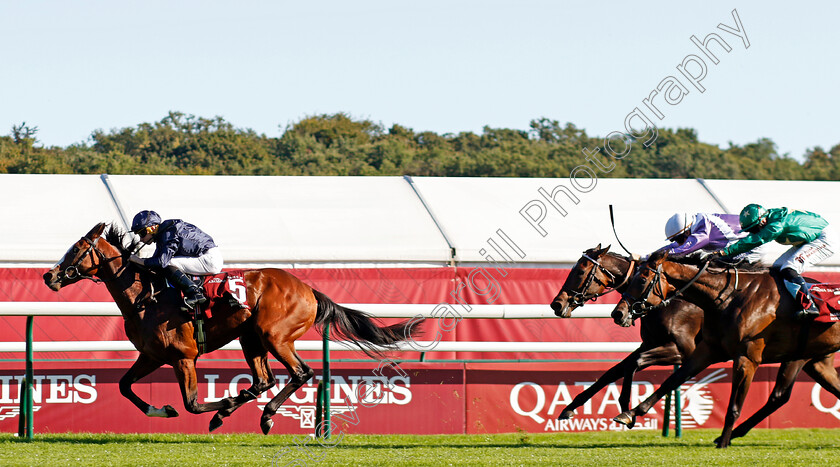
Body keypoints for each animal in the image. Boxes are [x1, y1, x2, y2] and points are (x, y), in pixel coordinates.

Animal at [42, 223, 416, 436]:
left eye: (77, 249)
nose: (49, 275)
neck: (145, 295)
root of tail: (308, 289)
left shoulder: (183, 356)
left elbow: (192, 404)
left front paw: (215, 403)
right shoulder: (152, 355)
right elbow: (123, 386)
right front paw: (163, 410)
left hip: (275, 336)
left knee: (301, 373)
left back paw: (263, 416)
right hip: (251, 338)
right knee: (263, 379)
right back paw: (234, 411)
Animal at [552, 245, 704, 420]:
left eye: (580, 272)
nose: (556, 304)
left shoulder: (683, 350)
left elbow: (632, 364)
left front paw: (626, 408)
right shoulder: (649, 344)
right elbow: (614, 371)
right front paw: (570, 406)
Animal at [612, 252, 840, 450]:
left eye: (642, 280)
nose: (618, 313)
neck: (731, 296)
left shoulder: (747, 358)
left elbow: (734, 406)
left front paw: (723, 442)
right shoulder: (707, 350)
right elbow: (672, 381)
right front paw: (630, 413)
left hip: (800, 357)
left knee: (779, 396)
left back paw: (727, 437)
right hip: (815, 359)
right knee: (785, 395)